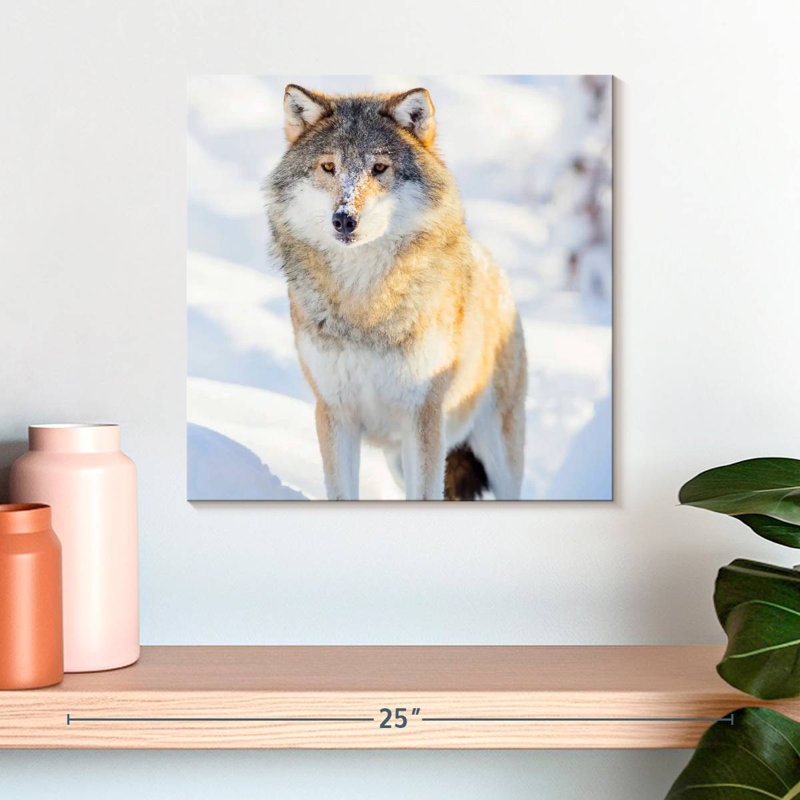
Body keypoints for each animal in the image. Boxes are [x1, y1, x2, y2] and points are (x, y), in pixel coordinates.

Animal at [264, 84, 527, 500]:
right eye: (328, 167)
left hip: (496, 455)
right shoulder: (335, 413)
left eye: (378, 168)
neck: (364, 301)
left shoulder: (422, 417)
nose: (344, 218)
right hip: (398, 460)